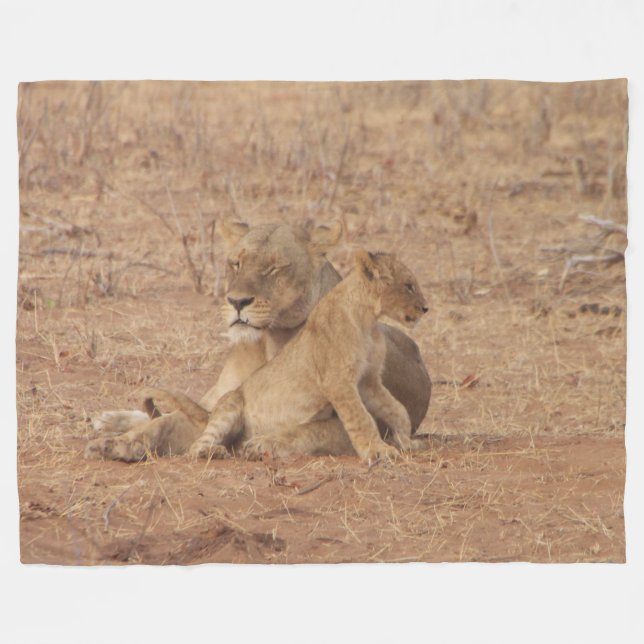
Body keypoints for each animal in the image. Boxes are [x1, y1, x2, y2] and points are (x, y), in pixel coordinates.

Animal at [85, 221, 431, 461]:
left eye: (275, 268)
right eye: (235, 263)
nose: (237, 302)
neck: (267, 343)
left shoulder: (358, 406)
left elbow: (316, 429)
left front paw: (266, 443)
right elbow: (167, 423)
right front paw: (118, 443)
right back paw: (110, 422)